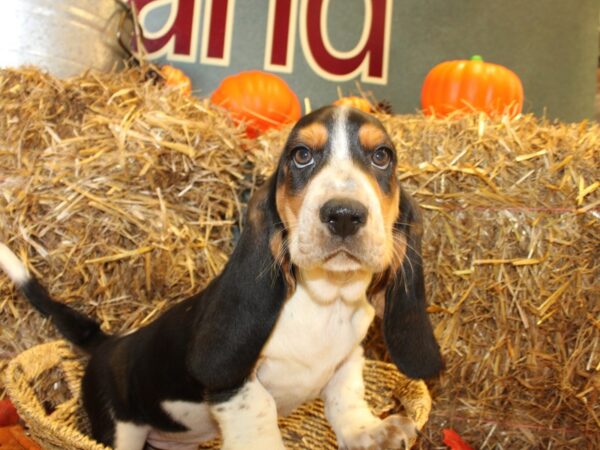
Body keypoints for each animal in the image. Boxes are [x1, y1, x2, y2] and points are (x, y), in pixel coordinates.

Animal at [0, 106, 440, 450]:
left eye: (382, 156)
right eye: (301, 155)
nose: (344, 214)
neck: (324, 300)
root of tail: (111, 344)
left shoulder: (348, 358)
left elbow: (345, 396)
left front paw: (368, 432)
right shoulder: (235, 386)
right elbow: (260, 412)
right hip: (120, 428)